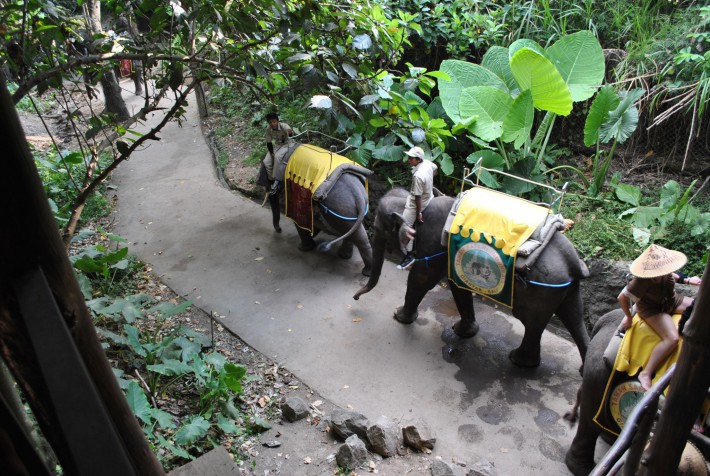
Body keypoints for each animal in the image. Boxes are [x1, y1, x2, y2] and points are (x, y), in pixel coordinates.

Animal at [270, 142, 376, 276]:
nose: (279, 230)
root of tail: (358, 195)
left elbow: (298, 218)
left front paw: (304, 248)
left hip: (340, 207)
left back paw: (364, 271)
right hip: (352, 207)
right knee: (356, 231)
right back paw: (348, 259)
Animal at [354, 188, 592, 366]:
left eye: (381, 229)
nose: (355, 298)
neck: (416, 203)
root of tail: (574, 263)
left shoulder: (432, 243)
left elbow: (422, 279)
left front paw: (399, 317)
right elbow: (457, 286)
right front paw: (463, 332)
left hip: (542, 290)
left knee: (531, 321)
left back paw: (518, 361)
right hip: (565, 289)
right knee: (573, 316)